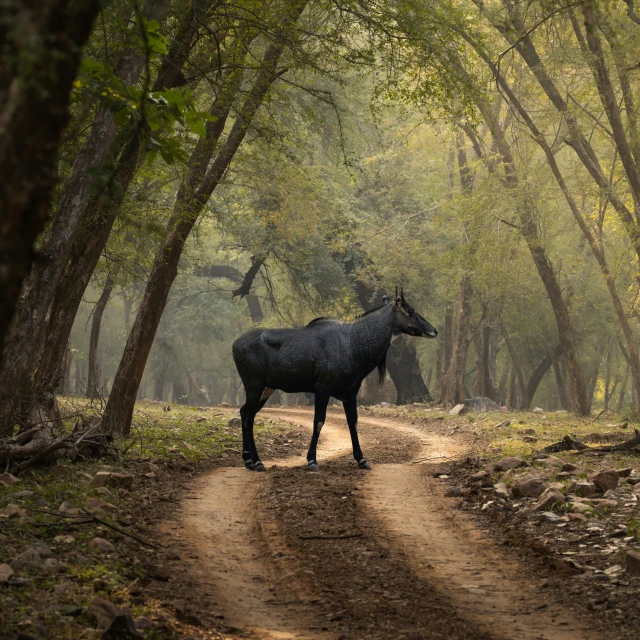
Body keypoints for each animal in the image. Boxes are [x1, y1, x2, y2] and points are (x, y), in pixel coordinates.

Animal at [232, 288, 438, 470]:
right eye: (411, 311)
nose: (433, 331)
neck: (353, 342)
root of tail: (235, 344)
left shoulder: (351, 393)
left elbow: (353, 422)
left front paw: (362, 460)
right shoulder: (323, 389)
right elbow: (319, 422)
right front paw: (312, 460)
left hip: (267, 389)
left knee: (244, 413)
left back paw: (248, 461)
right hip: (254, 386)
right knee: (248, 417)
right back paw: (258, 463)